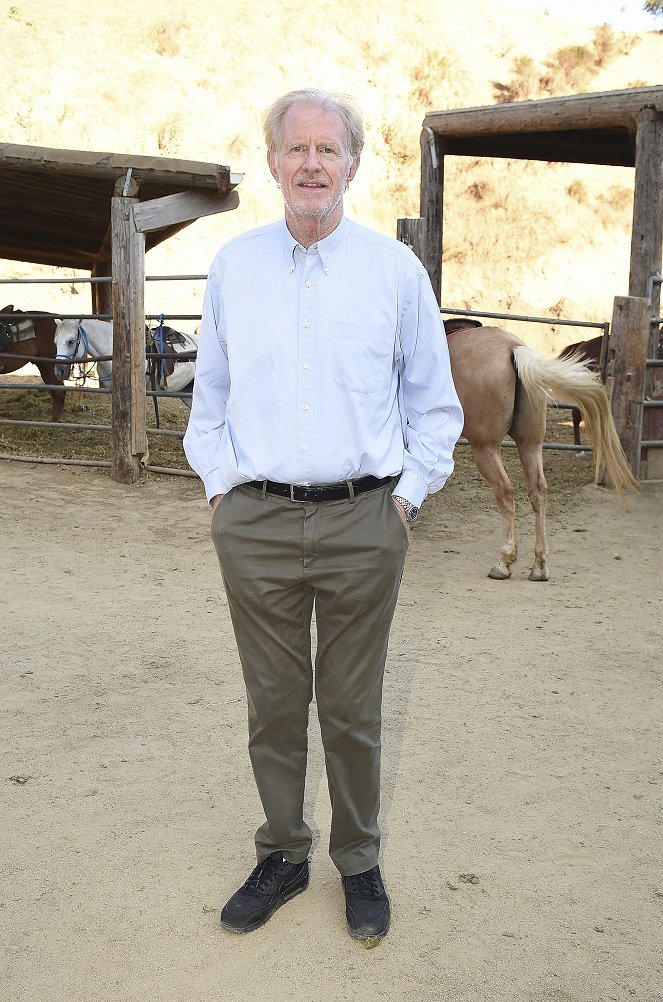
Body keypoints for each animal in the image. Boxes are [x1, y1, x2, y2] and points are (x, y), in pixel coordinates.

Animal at [446, 320, 640, 585]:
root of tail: (514, 348)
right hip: (530, 443)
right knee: (538, 490)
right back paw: (539, 566)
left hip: (486, 445)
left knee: (505, 490)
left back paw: (504, 561)